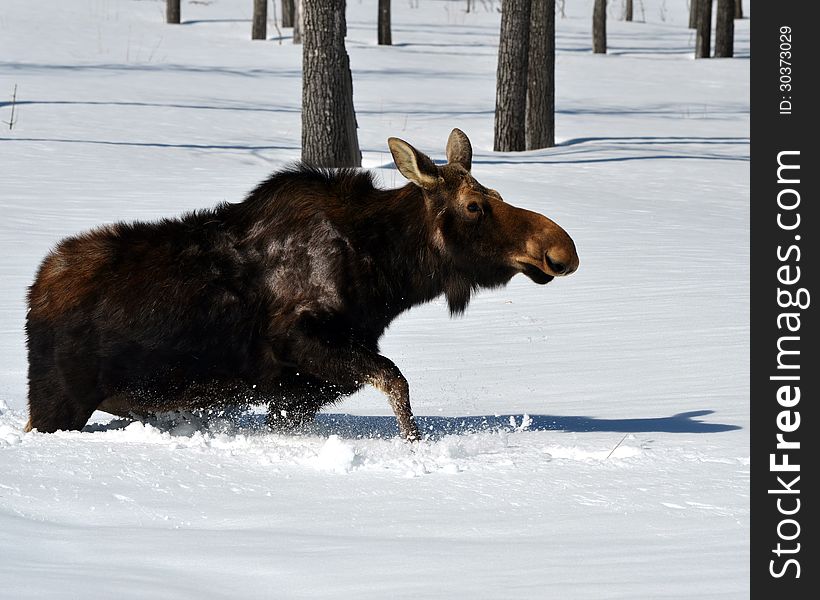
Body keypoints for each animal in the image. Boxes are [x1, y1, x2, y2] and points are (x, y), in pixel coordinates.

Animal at [24, 130, 576, 440]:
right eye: (475, 206)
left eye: (494, 194)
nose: (561, 249)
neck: (385, 276)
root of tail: (35, 292)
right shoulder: (299, 341)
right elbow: (396, 382)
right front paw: (415, 446)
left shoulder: (298, 391)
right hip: (57, 400)